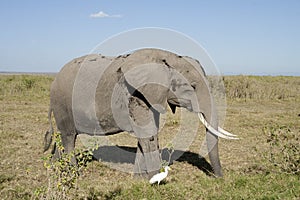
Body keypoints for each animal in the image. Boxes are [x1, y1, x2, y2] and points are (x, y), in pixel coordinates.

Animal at [44, 48, 237, 178]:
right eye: (193, 87)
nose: (219, 178)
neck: (165, 58)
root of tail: (53, 81)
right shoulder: (135, 95)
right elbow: (148, 133)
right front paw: (155, 178)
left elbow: (149, 134)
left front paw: (140, 178)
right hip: (62, 102)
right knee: (69, 137)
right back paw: (73, 174)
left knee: (63, 138)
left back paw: (54, 169)